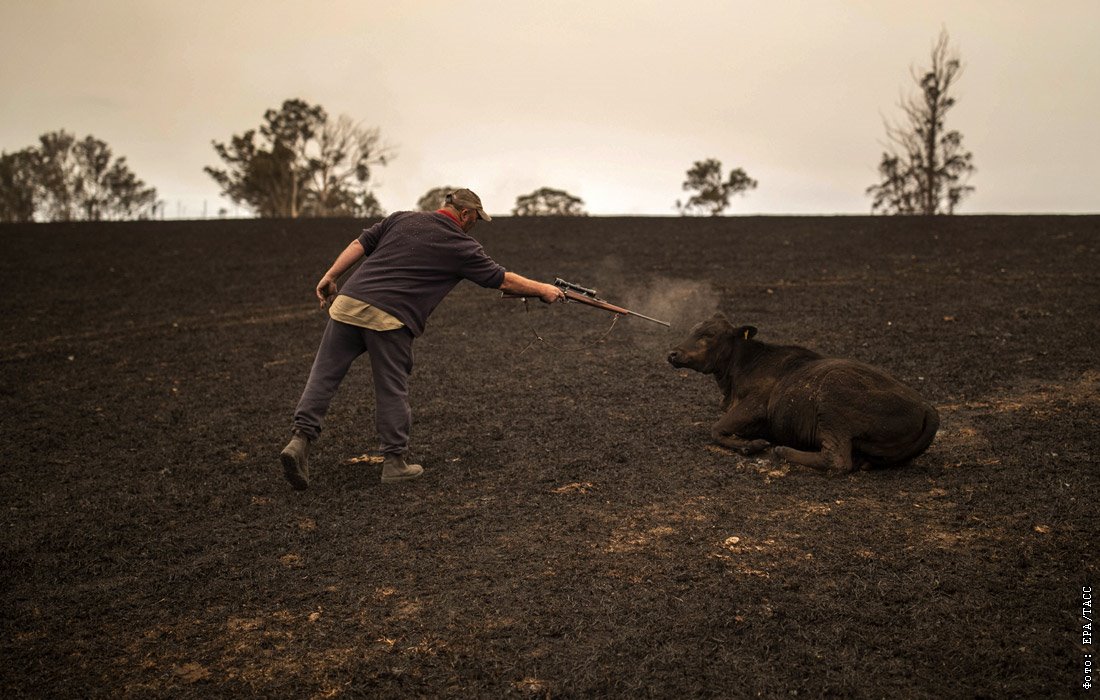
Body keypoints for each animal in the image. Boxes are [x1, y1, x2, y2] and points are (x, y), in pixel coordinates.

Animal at [664, 312, 941, 473]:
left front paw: (753, 445)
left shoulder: (755, 406)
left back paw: (782, 451)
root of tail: (928, 408)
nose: (673, 353)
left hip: (832, 401)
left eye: (709, 334)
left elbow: (715, 430)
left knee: (837, 460)